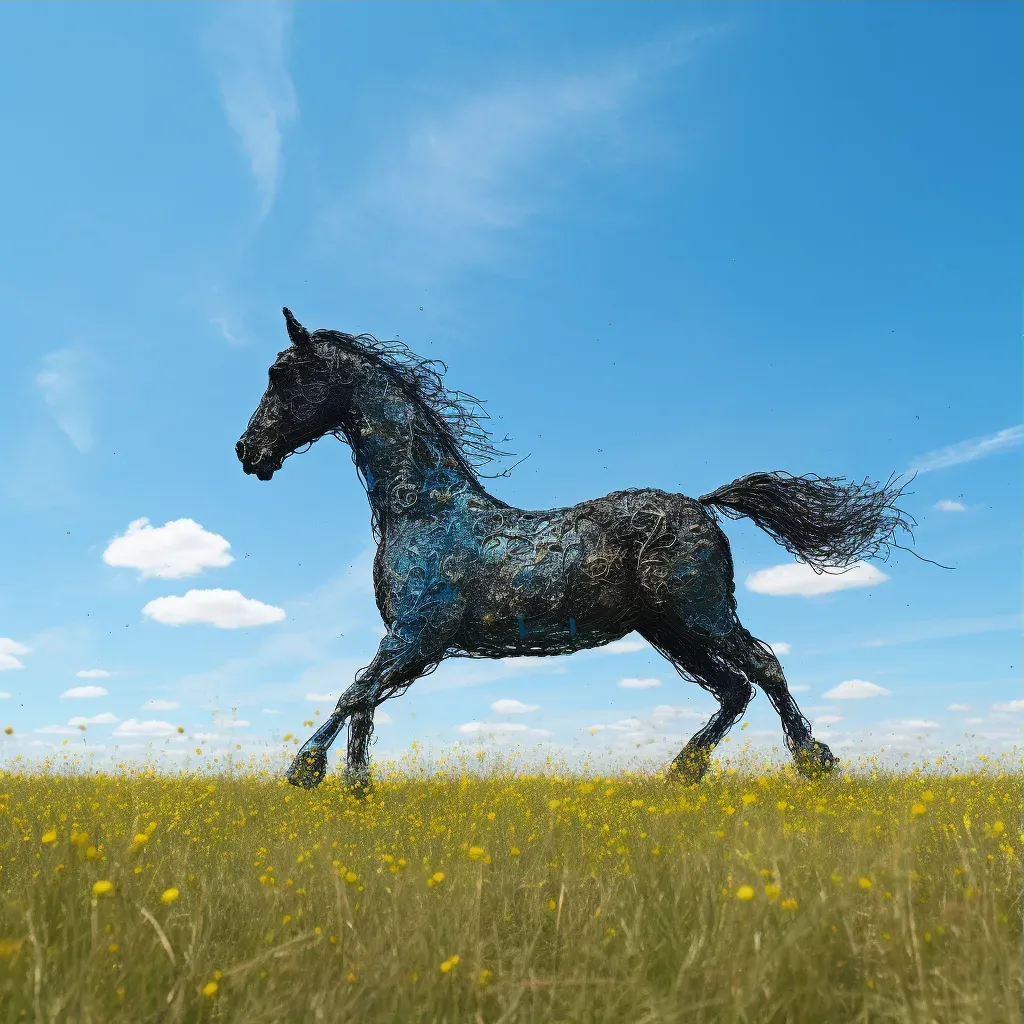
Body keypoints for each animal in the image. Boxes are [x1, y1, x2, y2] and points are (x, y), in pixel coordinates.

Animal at [235, 307, 917, 786]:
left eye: (281, 375)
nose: (248, 452)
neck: (425, 510)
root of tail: (703, 504)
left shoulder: (417, 635)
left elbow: (354, 694)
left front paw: (304, 771)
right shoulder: (405, 639)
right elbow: (365, 707)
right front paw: (357, 790)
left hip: (699, 613)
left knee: (762, 667)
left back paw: (813, 761)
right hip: (668, 628)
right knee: (734, 688)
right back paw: (684, 772)